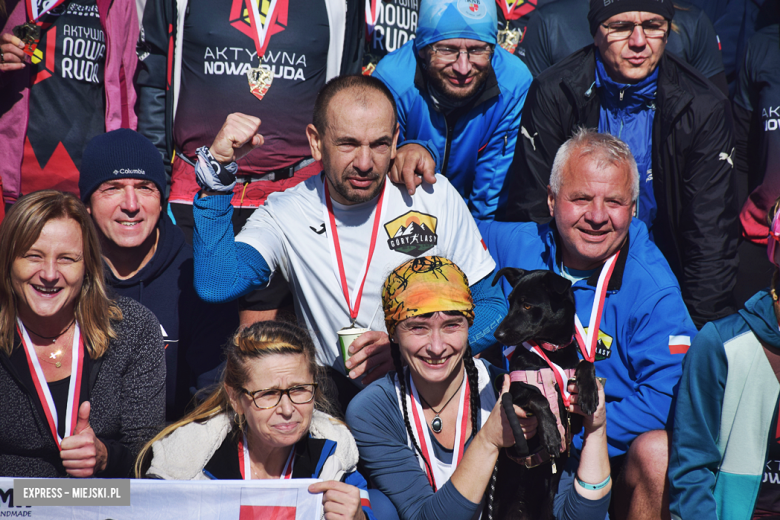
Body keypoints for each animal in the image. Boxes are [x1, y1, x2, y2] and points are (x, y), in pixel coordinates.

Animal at [490, 268, 600, 520]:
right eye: (510, 301)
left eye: (527, 305)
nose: (497, 334)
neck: (551, 353)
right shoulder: (513, 391)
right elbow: (538, 398)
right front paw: (550, 434)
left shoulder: (573, 419)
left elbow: (586, 363)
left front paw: (589, 393)